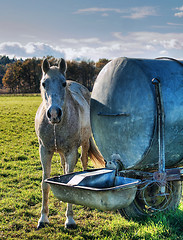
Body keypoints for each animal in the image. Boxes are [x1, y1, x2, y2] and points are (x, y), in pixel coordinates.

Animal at [34, 58, 104, 229]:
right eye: (44, 83)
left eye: (63, 83)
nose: (54, 114)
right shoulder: (44, 151)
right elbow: (45, 183)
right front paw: (43, 218)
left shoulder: (71, 152)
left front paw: (70, 220)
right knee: (63, 167)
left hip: (84, 143)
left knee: (84, 162)